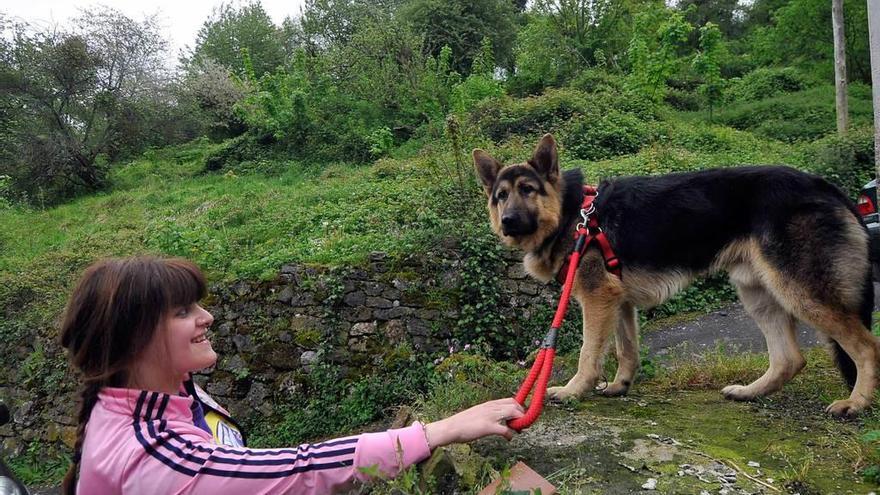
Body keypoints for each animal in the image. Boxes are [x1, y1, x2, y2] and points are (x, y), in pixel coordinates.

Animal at [474, 134, 880, 416]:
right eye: (500, 196)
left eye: (528, 190)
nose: (508, 221)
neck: (572, 213)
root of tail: (826, 186)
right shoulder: (619, 303)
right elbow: (626, 349)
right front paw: (620, 385)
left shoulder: (597, 299)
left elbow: (589, 353)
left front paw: (573, 391)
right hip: (758, 294)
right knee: (789, 359)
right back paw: (750, 392)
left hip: (800, 291)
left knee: (866, 346)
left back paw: (856, 404)